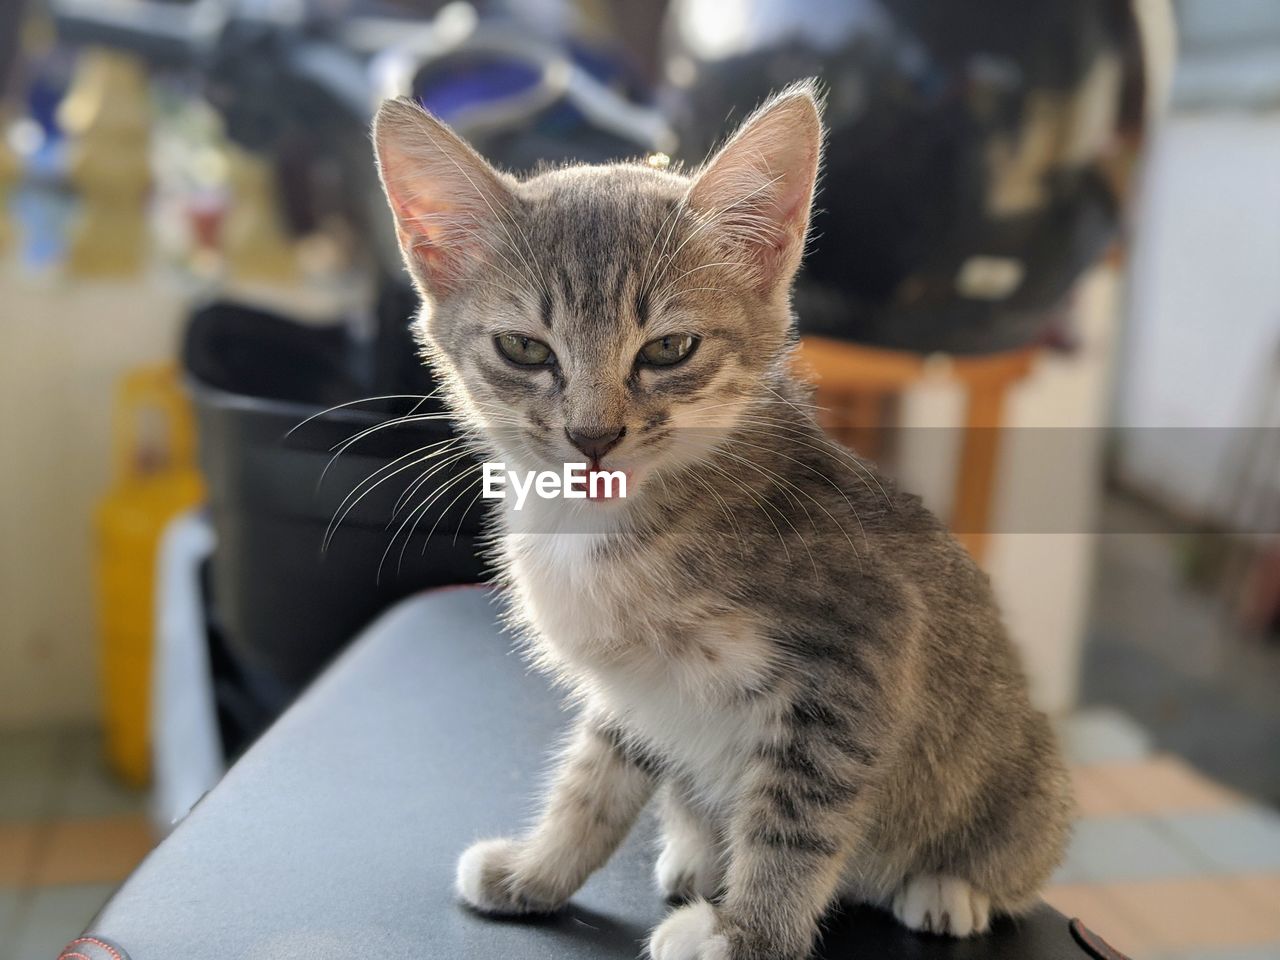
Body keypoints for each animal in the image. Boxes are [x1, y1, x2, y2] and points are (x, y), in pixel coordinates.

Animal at [373, 82, 1075, 960]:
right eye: (524, 350)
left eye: (669, 348)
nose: (593, 436)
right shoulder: (633, 691)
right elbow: (594, 781)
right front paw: (539, 871)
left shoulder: (859, 656)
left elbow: (795, 818)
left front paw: (749, 936)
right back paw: (697, 853)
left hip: (1026, 780)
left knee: (1007, 856)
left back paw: (948, 887)